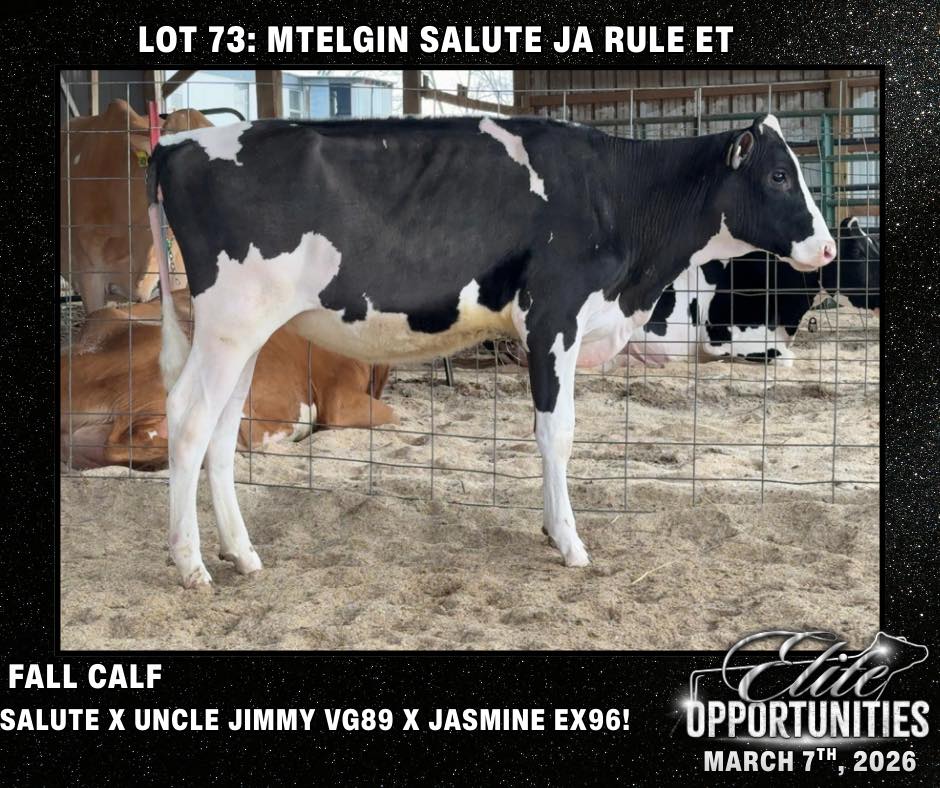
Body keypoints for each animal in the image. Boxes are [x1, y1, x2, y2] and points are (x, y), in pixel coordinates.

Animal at [145, 112, 835, 586]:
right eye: (779, 175)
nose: (827, 248)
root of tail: (177, 144)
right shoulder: (553, 316)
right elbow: (556, 433)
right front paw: (568, 541)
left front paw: (553, 529)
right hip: (230, 322)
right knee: (187, 418)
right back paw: (190, 563)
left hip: (245, 332)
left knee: (222, 430)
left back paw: (242, 553)